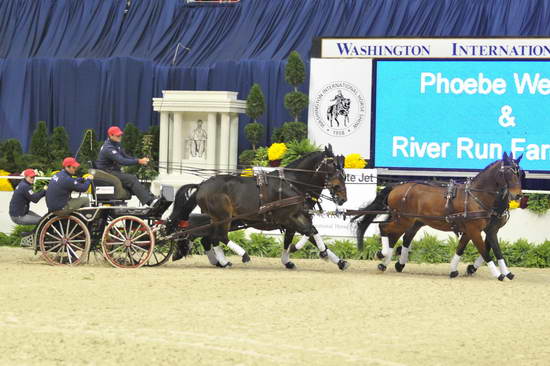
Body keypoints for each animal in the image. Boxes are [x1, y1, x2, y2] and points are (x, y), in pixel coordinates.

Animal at [167, 144, 350, 270]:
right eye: (333, 166)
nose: (342, 197)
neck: (292, 184)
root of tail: (201, 185)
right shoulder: (289, 218)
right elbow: (310, 232)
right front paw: (319, 252)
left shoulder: (297, 219)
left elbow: (305, 235)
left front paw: (339, 261)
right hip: (224, 217)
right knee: (218, 236)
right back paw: (239, 256)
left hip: (220, 219)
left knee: (209, 237)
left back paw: (220, 261)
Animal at [356, 152, 524, 280]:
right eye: (508, 173)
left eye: (520, 173)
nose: (517, 195)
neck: (475, 196)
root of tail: (397, 186)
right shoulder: (475, 230)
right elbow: (485, 251)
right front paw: (497, 274)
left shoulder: (483, 230)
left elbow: (478, 249)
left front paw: (455, 270)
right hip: (403, 219)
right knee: (384, 228)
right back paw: (383, 255)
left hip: (411, 221)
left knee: (400, 236)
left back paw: (390, 262)